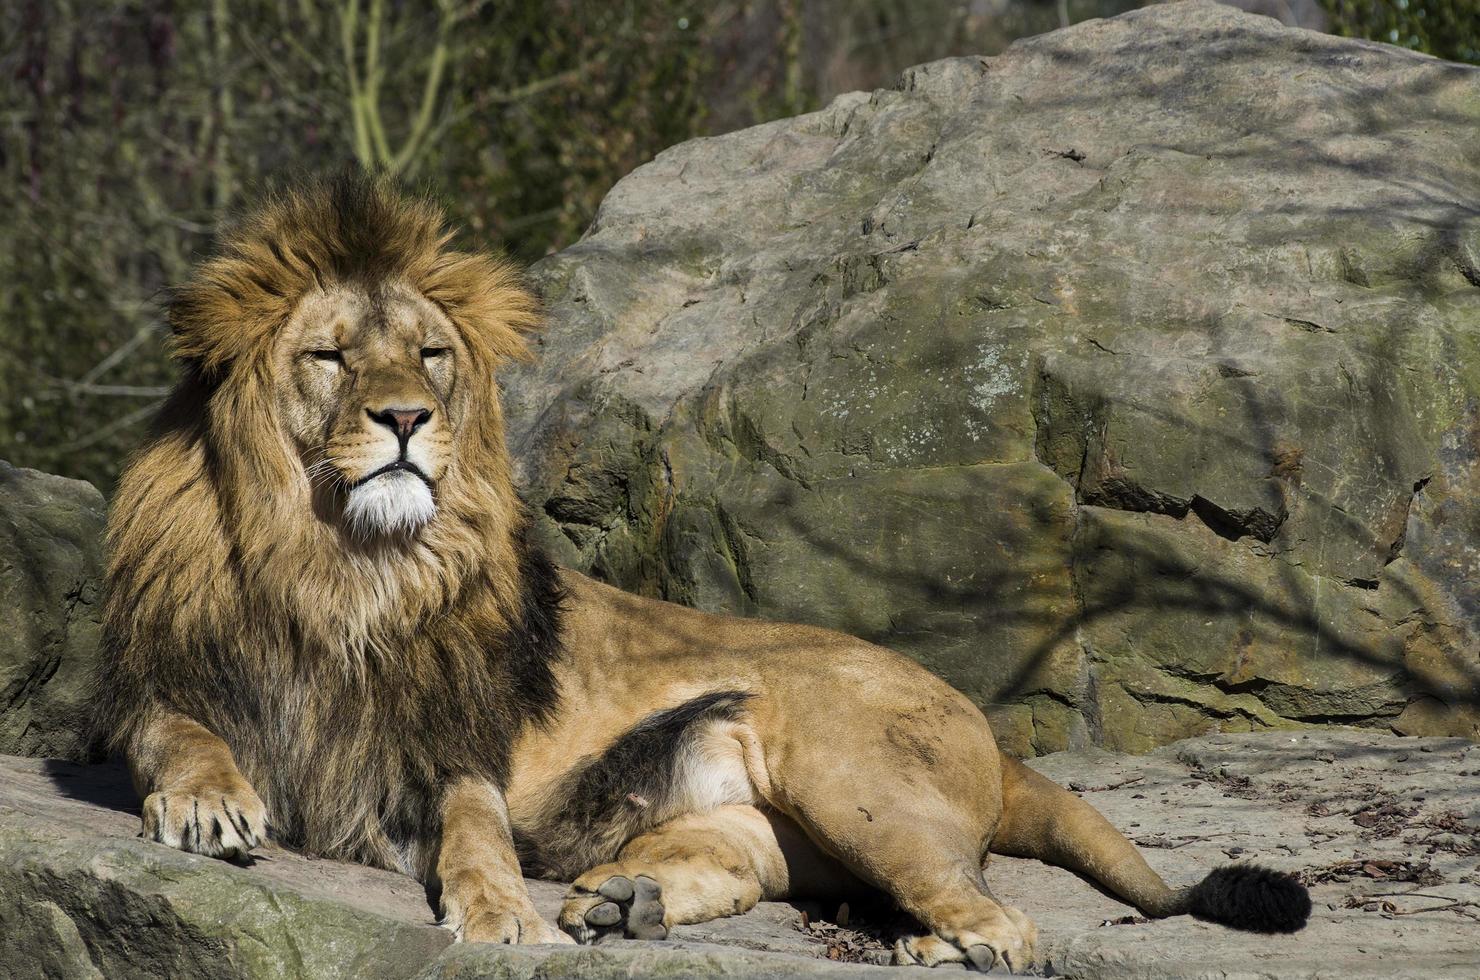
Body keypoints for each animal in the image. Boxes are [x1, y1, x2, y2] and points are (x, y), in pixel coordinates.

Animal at [89, 174, 1308, 977]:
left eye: (429, 355)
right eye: (331, 356)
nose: (405, 419)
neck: (344, 565)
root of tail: (989, 730)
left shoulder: (448, 741)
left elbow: (477, 828)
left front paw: (498, 912)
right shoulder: (165, 684)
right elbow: (181, 737)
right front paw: (209, 803)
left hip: (852, 777)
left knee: (1004, 918)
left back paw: (938, 945)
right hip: (753, 815)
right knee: (744, 861)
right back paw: (623, 902)